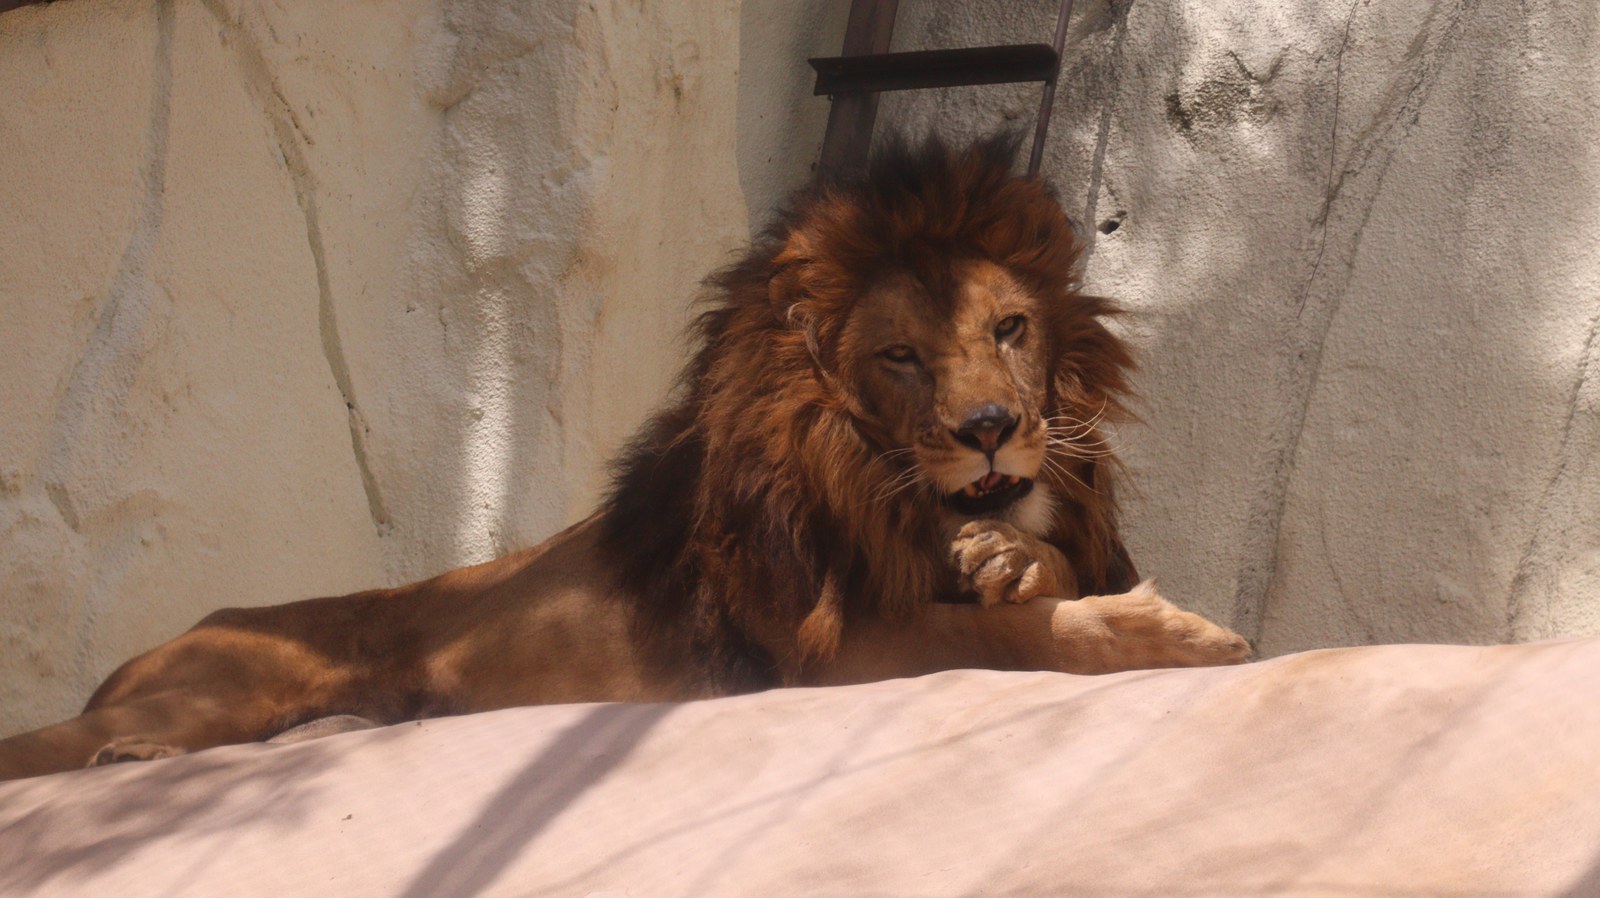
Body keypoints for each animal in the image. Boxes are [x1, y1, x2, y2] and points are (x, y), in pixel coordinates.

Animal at [0, 134, 1248, 781]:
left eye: (1011, 329)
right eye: (900, 354)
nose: (992, 426)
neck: (876, 488)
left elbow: (1025, 583)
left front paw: (1015, 558)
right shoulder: (824, 657)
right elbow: (1008, 636)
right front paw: (1175, 632)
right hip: (214, 687)